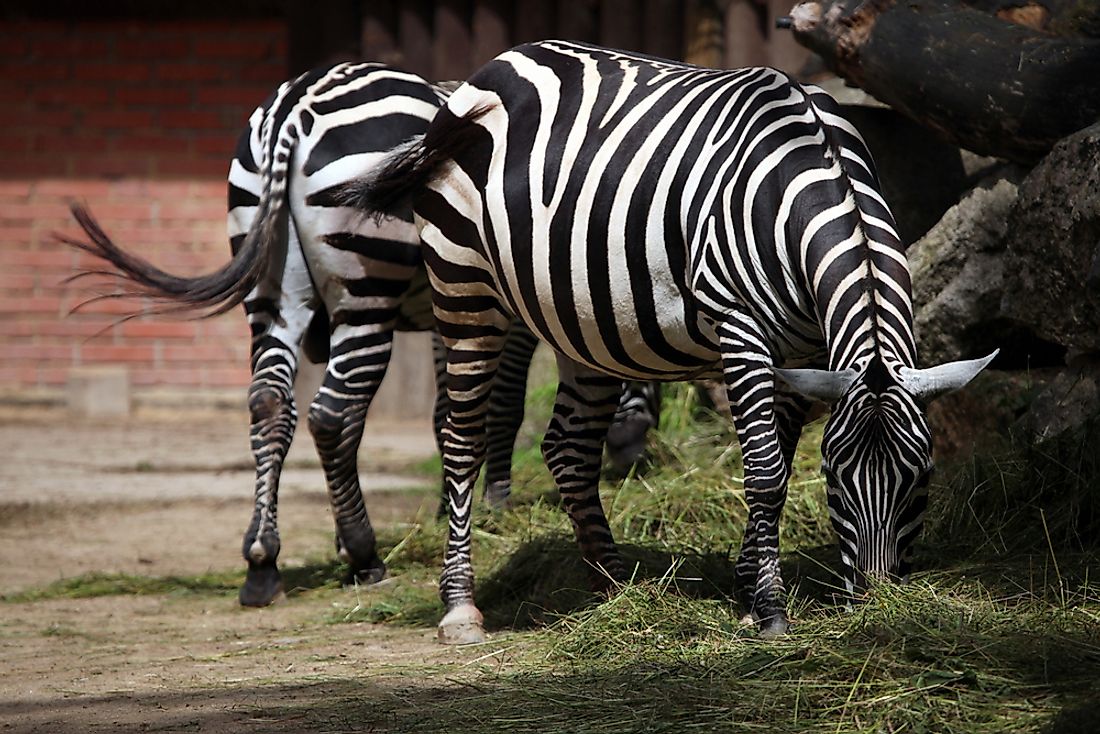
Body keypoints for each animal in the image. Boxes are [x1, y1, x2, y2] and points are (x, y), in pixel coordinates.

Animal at [343, 43, 998, 647]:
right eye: (835, 477)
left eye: (923, 477)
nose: (875, 600)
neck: (812, 172)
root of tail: (495, 66)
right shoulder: (742, 330)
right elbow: (765, 472)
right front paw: (770, 611)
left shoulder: (807, 354)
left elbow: (780, 465)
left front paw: (745, 595)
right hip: (464, 286)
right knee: (462, 440)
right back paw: (461, 609)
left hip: (583, 321)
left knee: (569, 447)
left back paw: (612, 588)